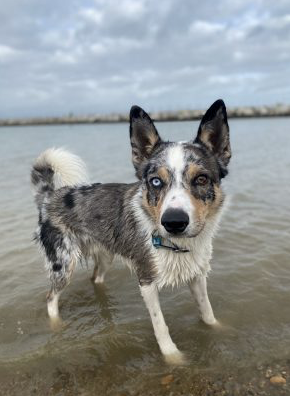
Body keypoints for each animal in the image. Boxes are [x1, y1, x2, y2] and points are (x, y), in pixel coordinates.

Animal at [31, 100, 231, 366]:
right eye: (155, 181)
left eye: (201, 179)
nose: (173, 222)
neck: (175, 244)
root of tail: (49, 196)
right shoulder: (146, 281)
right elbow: (160, 326)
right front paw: (173, 358)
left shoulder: (197, 274)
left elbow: (207, 311)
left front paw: (219, 331)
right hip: (63, 263)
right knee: (51, 298)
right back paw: (56, 325)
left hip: (105, 256)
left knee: (95, 279)